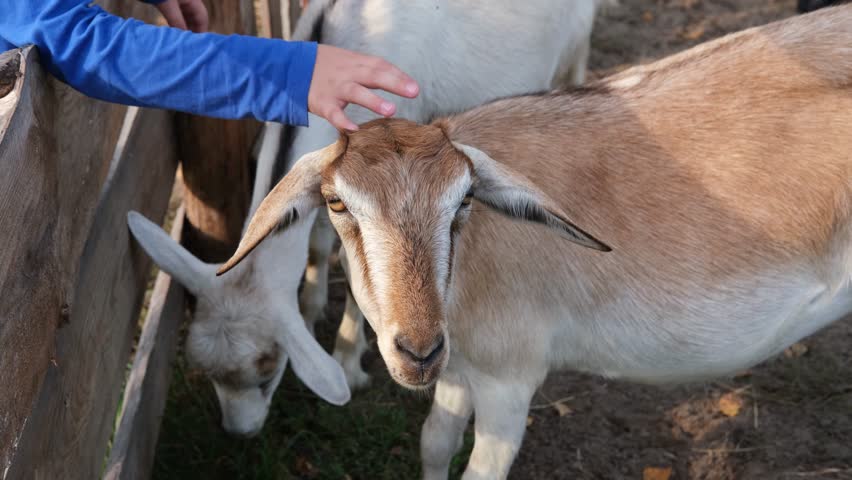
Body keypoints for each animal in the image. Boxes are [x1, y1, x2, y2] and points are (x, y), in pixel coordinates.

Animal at [126, 0, 608, 437]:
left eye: (268, 372)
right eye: (207, 373)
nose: (238, 433)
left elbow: (351, 262)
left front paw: (347, 360)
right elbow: (321, 241)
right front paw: (312, 308)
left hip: (575, 47)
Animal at [221, 6, 852, 478]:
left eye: (465, 199)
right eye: (335, 203)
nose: (417, 350)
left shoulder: (510, 378)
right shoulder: (460, 370)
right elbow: (433, 443)